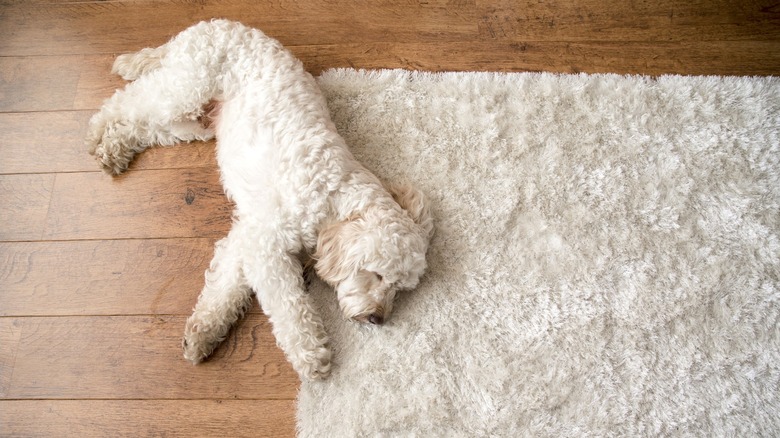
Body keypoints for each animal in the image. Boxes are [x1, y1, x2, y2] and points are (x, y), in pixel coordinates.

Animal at [90, 18, 438, 378]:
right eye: (377, 274)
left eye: (399, 289)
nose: (378, 319)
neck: (331, 197)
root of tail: (214, 23)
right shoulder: (267, 243)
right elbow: (289, 305)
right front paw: (310, 353)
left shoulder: (248, 234)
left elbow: (226, 285)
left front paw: (204, 331)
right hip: (183, 90)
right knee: (126, 101)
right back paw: (98, 130)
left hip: (192, 123)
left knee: (145, 127)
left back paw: (115, 148)